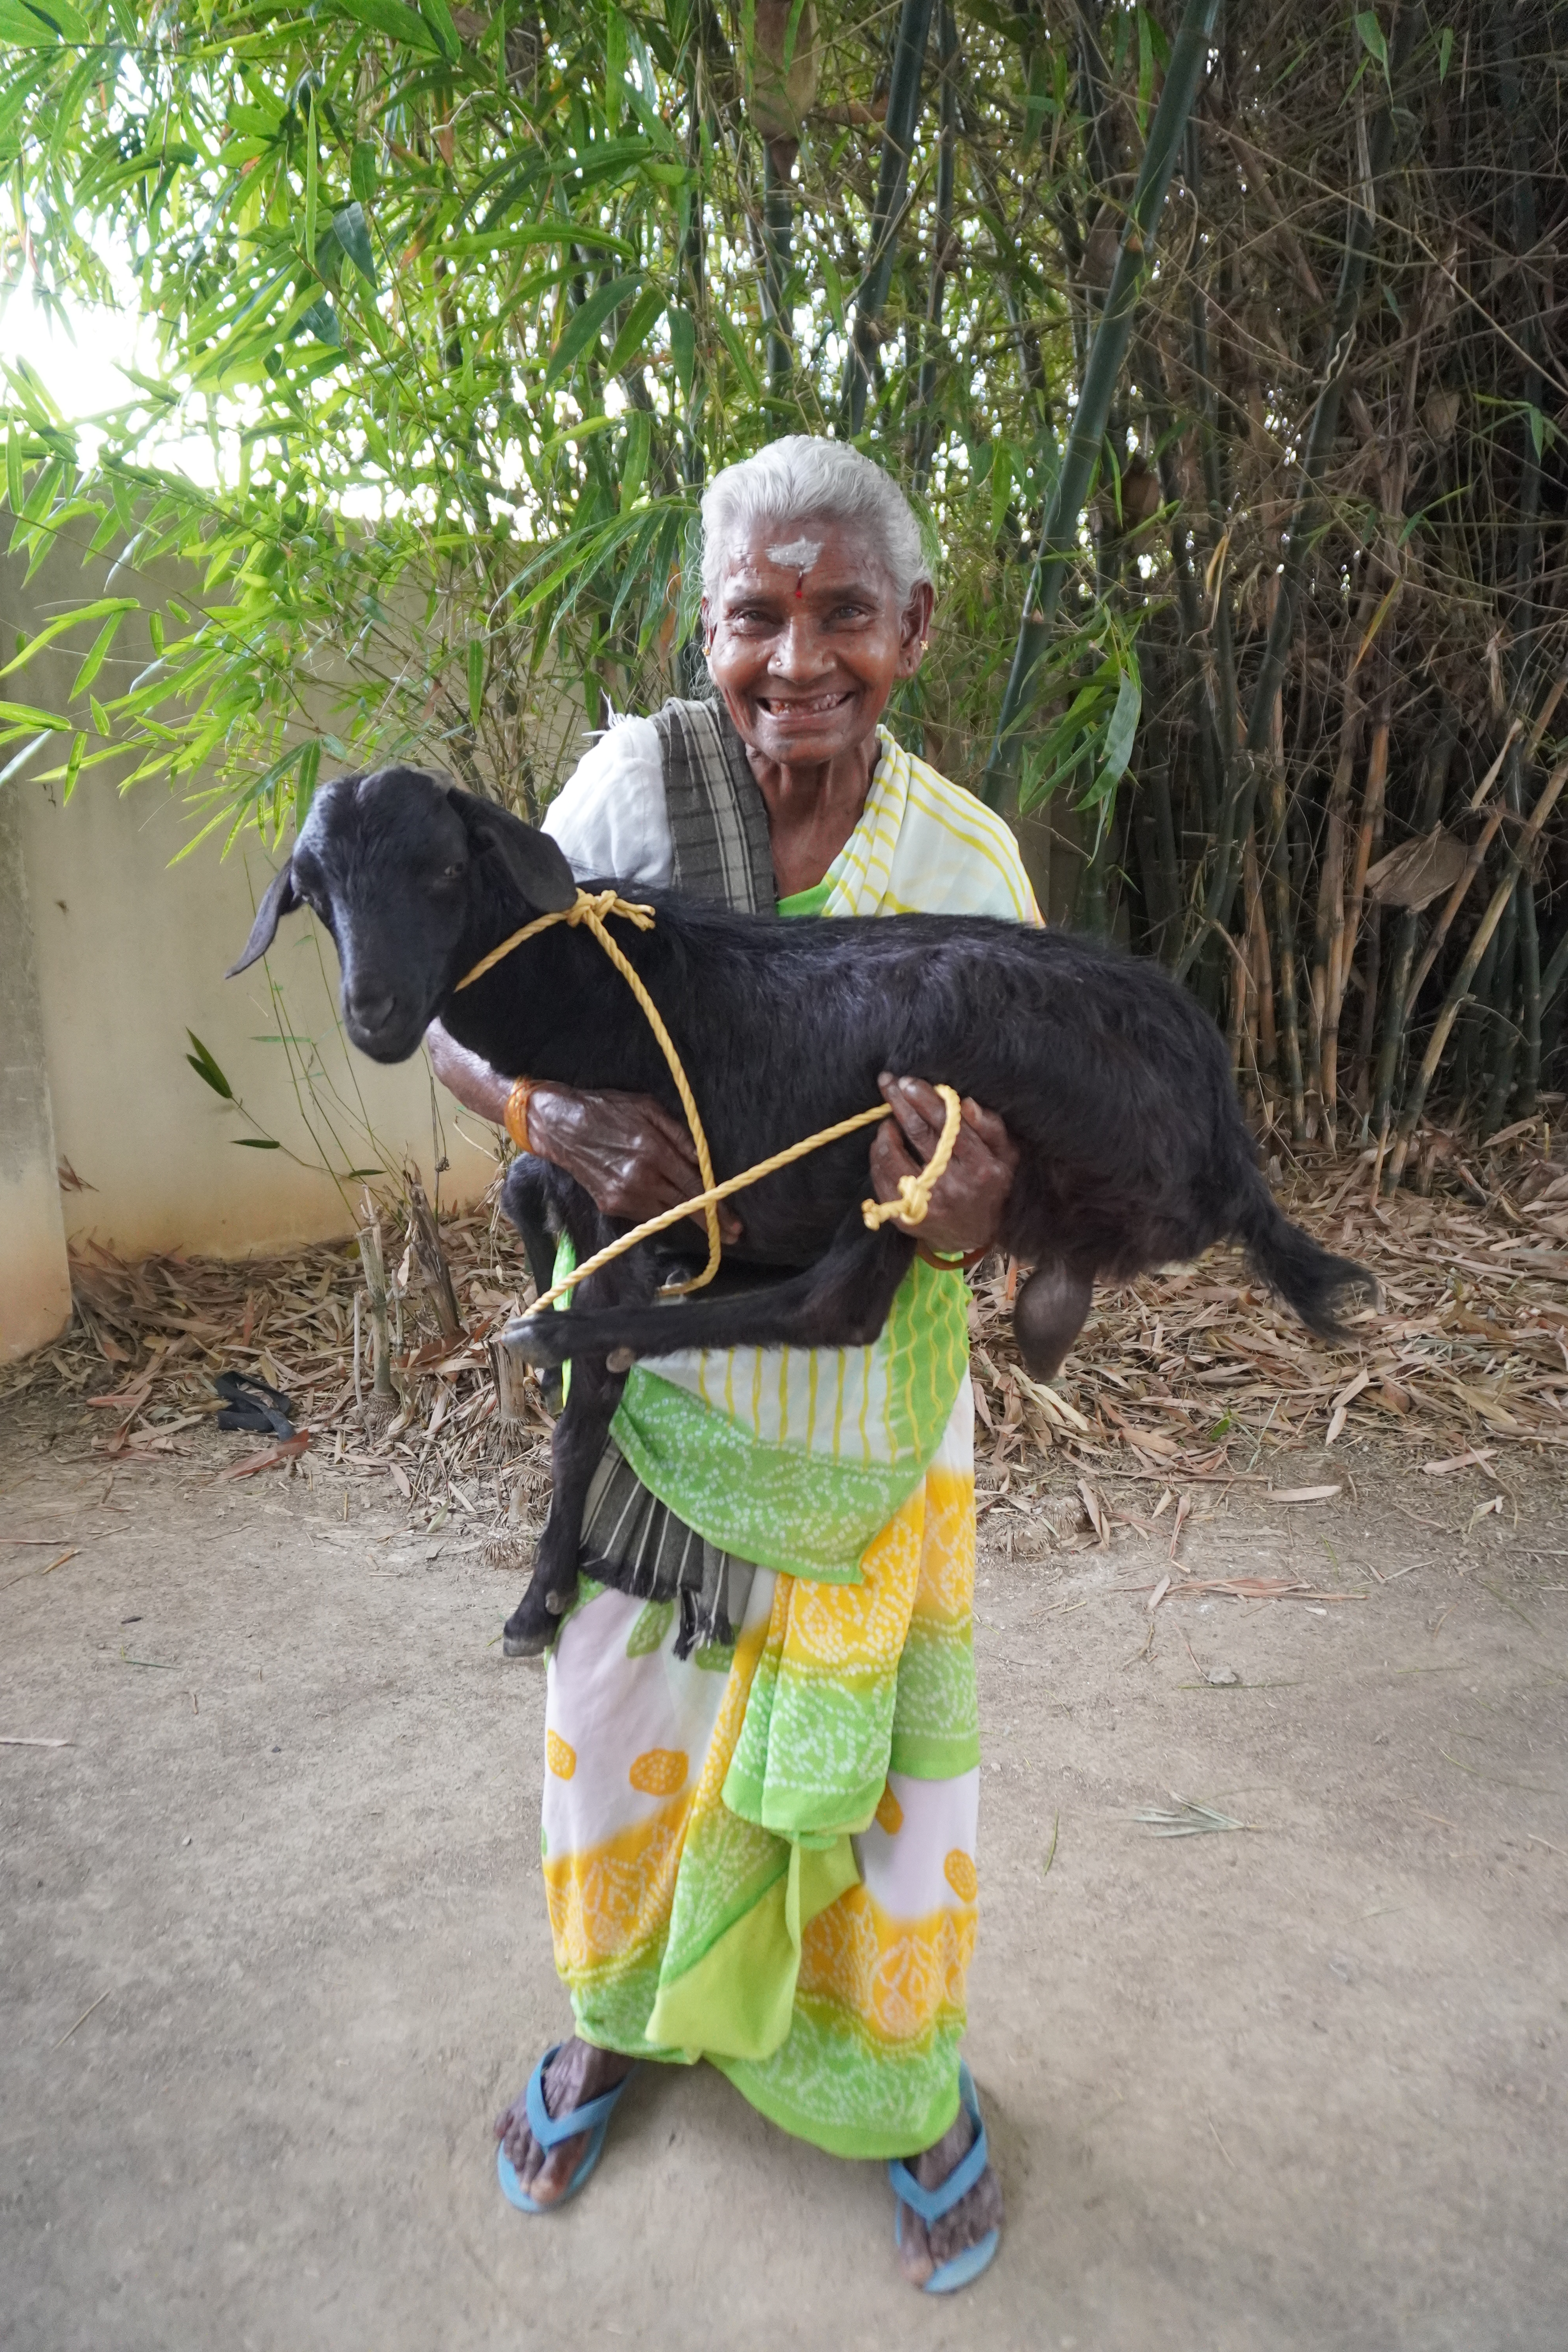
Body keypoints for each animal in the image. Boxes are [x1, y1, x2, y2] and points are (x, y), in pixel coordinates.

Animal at [230, 764, 1373, 1654]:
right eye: (312, 891)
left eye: (445, 869)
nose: (376, 1014)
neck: (583, 982)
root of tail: (1224, 1132)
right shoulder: (582, 1157)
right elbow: (520, 1184)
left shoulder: (628, 1189)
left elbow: (588, 1411)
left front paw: (538, 1595)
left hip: (917, 1134)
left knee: (832, 1307)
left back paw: (587, 1328)